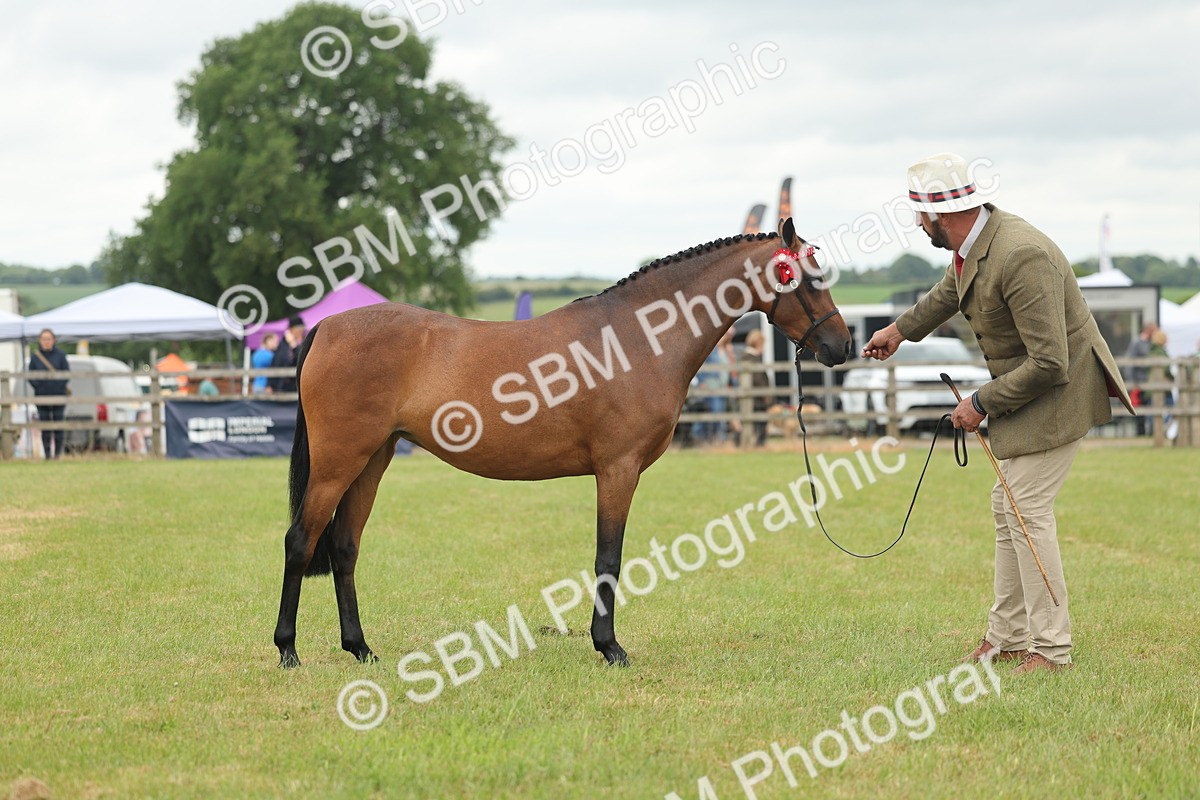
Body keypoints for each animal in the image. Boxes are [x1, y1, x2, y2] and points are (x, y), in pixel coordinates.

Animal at [273, 218, 853, 668]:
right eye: (808, 278)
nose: (842, 345)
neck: (636, 338)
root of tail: (328, 327)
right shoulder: (618, 469)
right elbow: (608, 558)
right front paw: (610, 647)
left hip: (373, 460)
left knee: (344, 547)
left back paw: (360, 648)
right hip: (337, 463)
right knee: (300, 541)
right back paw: (288, 650)